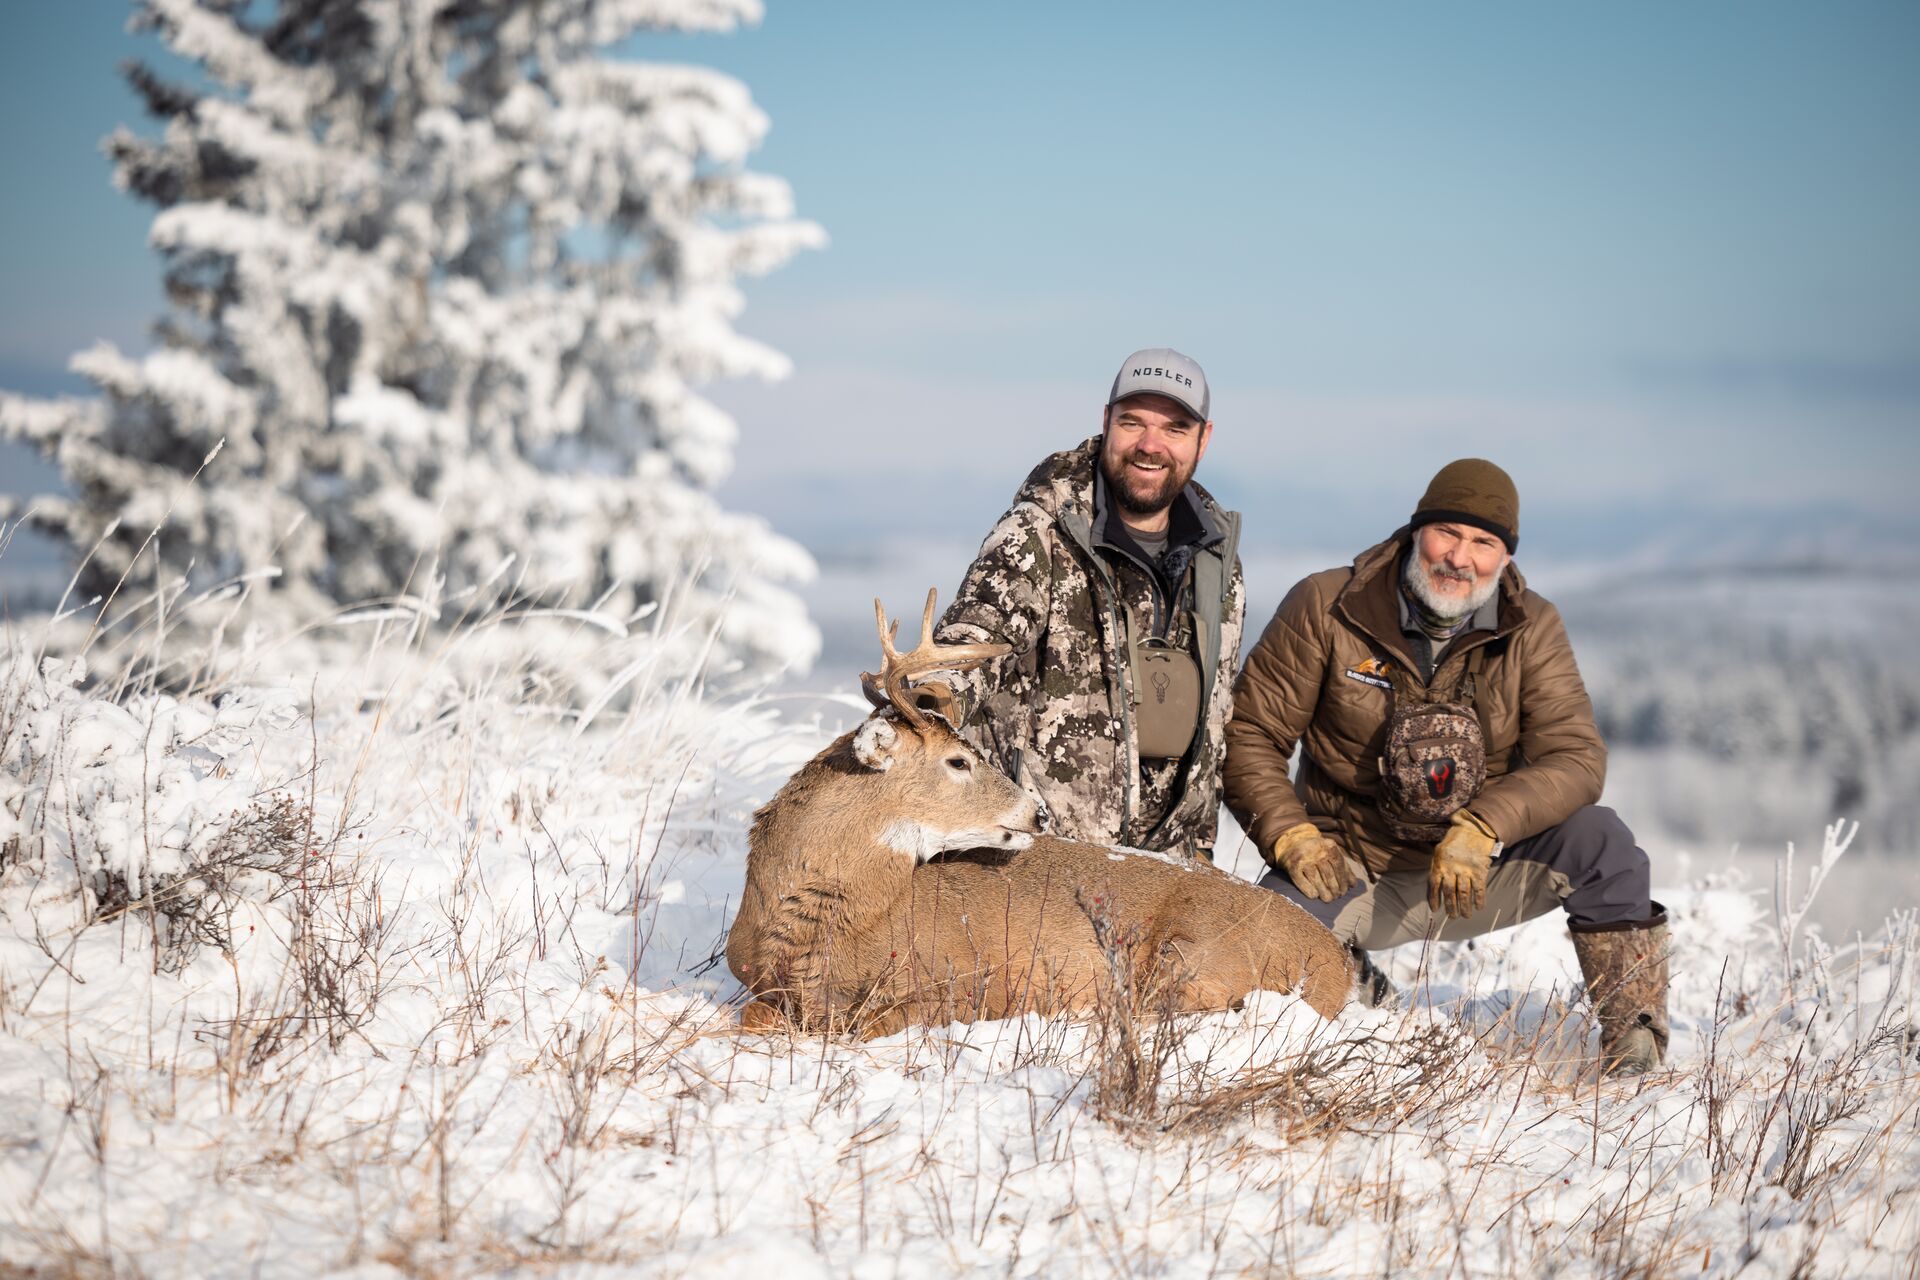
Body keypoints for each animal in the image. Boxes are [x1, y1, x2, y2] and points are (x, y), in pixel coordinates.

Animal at [725, 590, 1352, 1037]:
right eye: (957, 760)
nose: (1038, 814)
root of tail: (1336, 965)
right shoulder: (755, 984)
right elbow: (757, 1016)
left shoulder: (960, 983)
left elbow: (864, 1022)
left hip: (1193, 956)